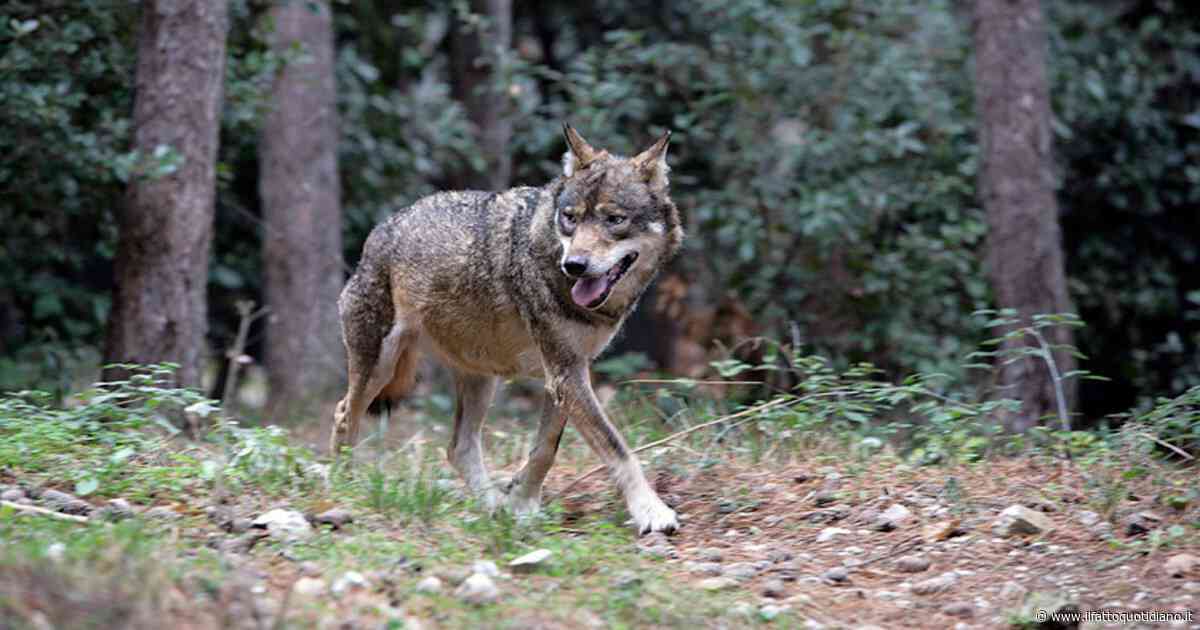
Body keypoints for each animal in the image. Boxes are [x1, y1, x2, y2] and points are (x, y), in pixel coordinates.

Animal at [330, 124, 684, 534]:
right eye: (570, 218)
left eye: (614, 219)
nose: (574, 265)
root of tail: (382, 228)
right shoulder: (565, 374)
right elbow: (617, 447)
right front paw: (651, 511)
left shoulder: (566, 374)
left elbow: (545, 449)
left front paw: (520, 503)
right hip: (380, 367)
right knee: (344, 413)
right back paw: (343, 485)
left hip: (482, 378)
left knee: (459, 448)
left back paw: (492, 506)